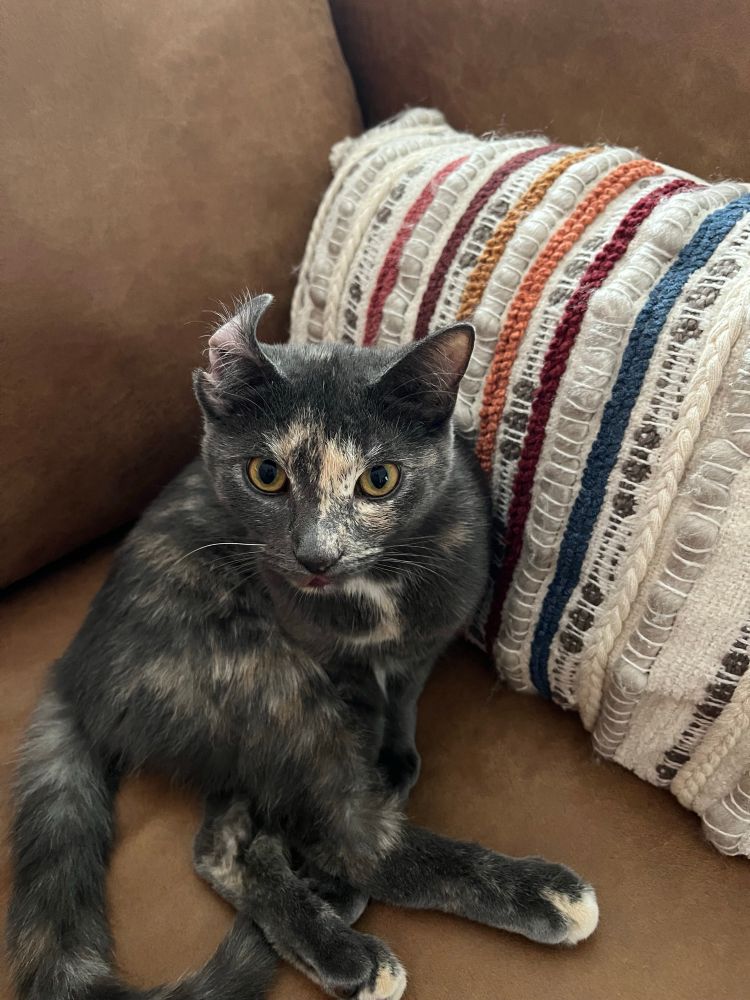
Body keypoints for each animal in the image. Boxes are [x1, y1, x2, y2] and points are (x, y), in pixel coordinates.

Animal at [7, 293, 598, 1000]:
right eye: (266, 474)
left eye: (380, 480)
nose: (317, 555)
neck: (370, 591)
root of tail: (72, 673)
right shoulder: (322, 654)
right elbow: (360, 734)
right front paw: (382, 770)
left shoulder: (426, 638)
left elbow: (404, 694)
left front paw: (396, 754)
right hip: (267, 680)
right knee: (345, 835)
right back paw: (488, 909)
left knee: (225, 843)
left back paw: (327, 907)